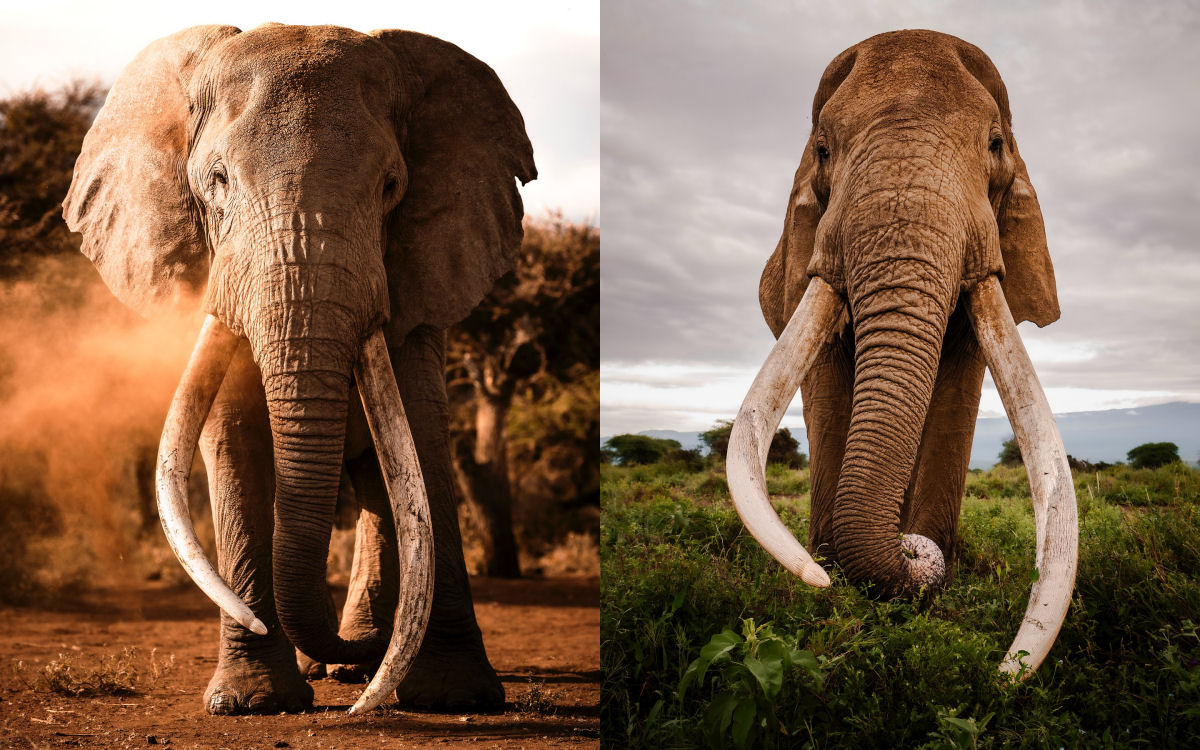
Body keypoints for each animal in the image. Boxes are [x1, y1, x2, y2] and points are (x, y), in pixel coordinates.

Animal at [62, 24, 536, 715]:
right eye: (216, 182)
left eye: (390, 186)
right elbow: (232, 438)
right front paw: (251, 702)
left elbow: (422, 433)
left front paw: (455, 697)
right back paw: (344, 666)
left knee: (384, 486)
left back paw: (359, 662)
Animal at [727, 30, 1077, 677]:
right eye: (822, 150)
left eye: (995, 144)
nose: (915, 553)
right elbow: (827, 390)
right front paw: (830, 581)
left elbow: (956, 399)